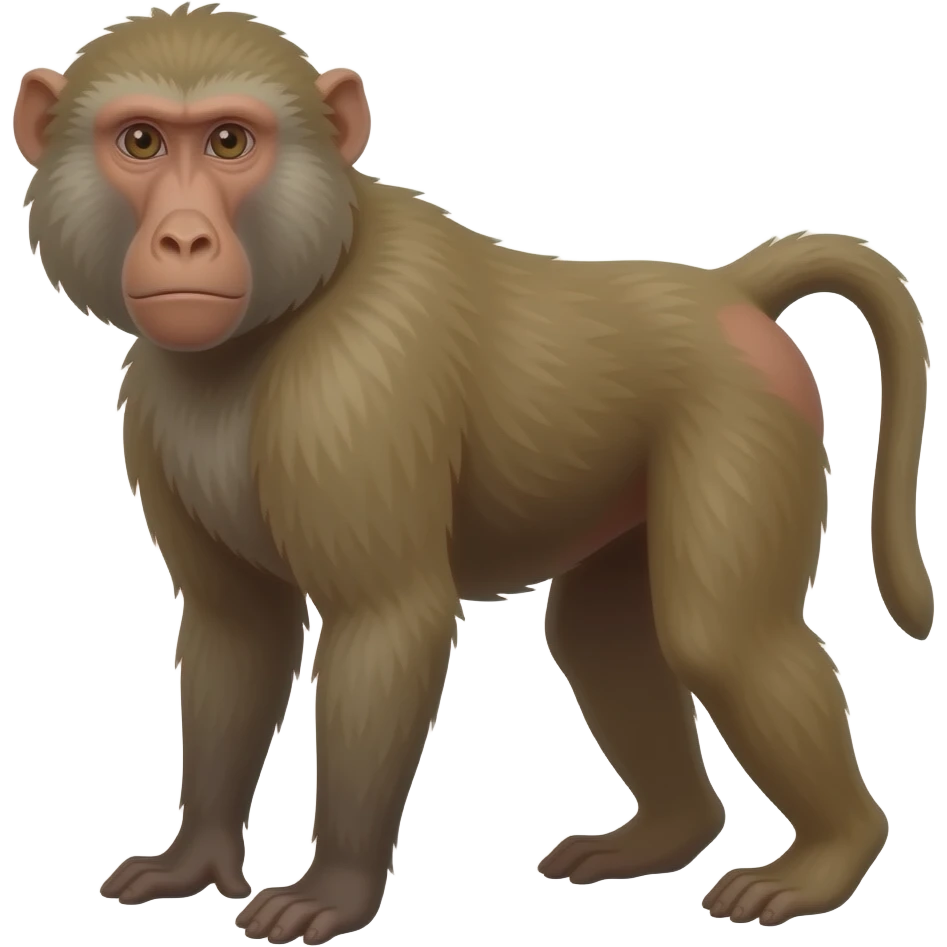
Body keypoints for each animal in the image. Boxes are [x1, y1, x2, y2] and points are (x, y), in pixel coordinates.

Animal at [13, 3, 933, 943]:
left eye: (230, 141)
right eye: (141, 141)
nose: (184, 238)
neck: (292, 300)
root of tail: (726, 292)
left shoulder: (355, 383)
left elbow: (386, 619)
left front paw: (334, 887)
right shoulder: (152, 410)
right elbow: (238, 627)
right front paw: (195, 858)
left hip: (744, 416)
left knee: (719, 634)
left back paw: (830, 855)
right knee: (599, 636)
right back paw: (668, 833)